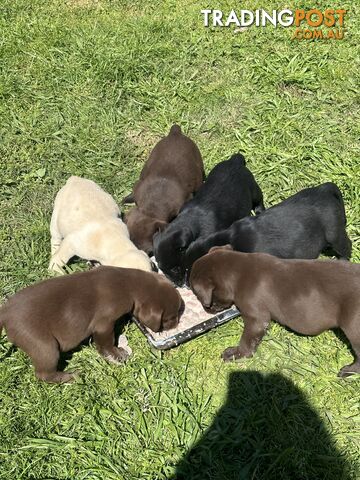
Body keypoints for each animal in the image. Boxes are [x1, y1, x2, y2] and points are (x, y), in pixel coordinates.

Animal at [153, 153, 264, 284]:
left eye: (175, 269)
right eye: (161, 268)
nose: (177, 284)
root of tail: (234, 161)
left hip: (253, 188)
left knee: (259, 200)